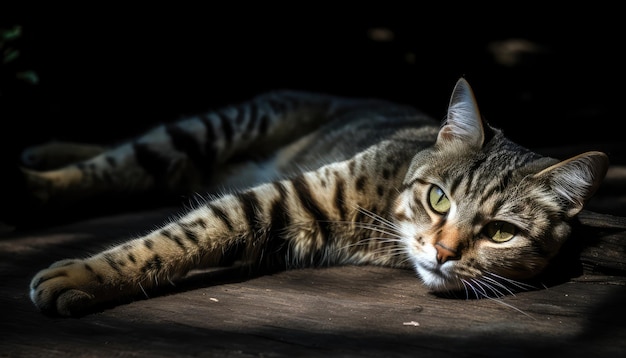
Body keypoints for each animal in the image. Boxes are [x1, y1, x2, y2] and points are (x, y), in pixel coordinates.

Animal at [26, 78, 608, 316]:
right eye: (439, 199)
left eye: (501, 233)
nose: (443, 253)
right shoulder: (295, 192)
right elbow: (182, 234)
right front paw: (82, 275)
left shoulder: (289, 220)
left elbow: (196, 232)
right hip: (220, 127)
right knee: (125, 158)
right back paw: (35, 178)